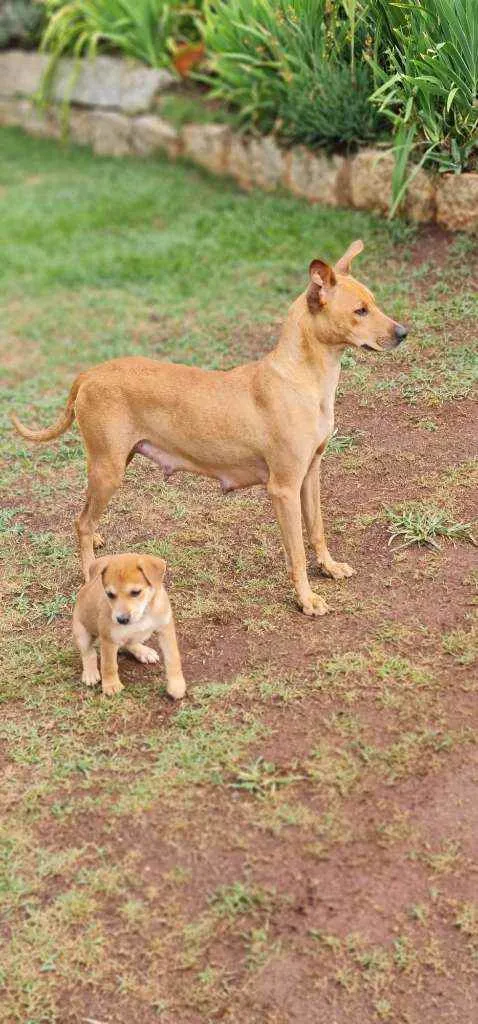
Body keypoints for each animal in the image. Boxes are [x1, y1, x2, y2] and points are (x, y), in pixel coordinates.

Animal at [13, 239, 407, 614]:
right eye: (360, 310)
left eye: (374, 303)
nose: (404, 332)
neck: (300, 378)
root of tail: (90, 373)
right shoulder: (283, 488)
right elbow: (295, 552)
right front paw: (306, 600)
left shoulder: (310, 474)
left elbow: (318, 530)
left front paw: (328, 567)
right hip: (108, 470)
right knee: (81, 522)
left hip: (113, 463)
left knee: (87, 518)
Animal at [72, 557, 186, 700]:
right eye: (110, 594)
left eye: (136, 592)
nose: (121, 619)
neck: (144, 613)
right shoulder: (108, 639)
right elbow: (108, 665)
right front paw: (111, 685)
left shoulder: (166, 628)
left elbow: (173, 658)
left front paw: (176, 685)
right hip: (82, 634)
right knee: (89, 653)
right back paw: (90, 673)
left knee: (129, 643)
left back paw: (144, 652)